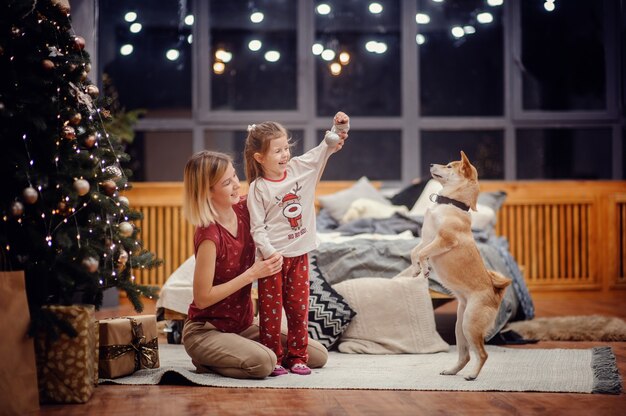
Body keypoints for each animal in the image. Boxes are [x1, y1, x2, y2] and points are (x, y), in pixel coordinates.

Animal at [410, 150, 512, 380]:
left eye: (449, 166)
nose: (431, 164)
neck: (450, 203)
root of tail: (496, 292)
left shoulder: (443, 241)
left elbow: (422, 253)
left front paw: (425, 267)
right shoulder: (427, 238)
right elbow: (415, 252)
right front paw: (417, 269)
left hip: (469, 324)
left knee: (481, 354)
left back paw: (472, 375)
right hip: (460, 326)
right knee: (465, 356)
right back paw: (452, 370)